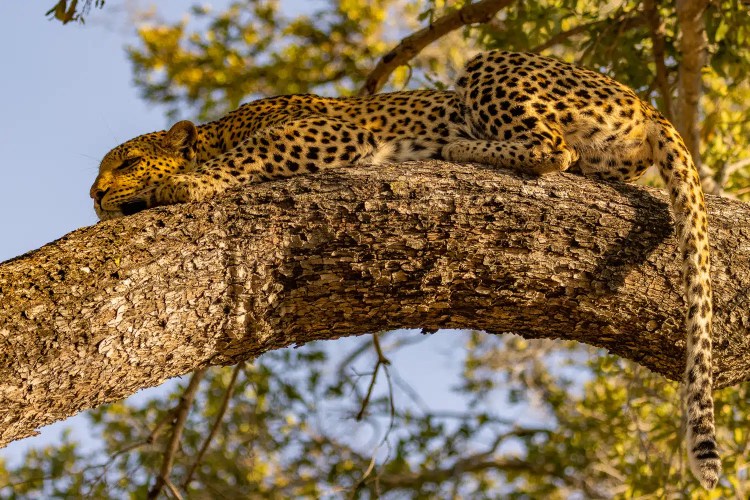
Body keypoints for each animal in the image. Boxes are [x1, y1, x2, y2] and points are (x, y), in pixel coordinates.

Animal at [91, 50, 719, 489]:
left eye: (127, 161)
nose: (93, 194)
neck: (220, 129)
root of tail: (645, 102)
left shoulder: (327, 129)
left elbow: (248, 155)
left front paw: (187, 182)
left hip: (491, 67)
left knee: (552, 148)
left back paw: (460, 148)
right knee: (564, 156)